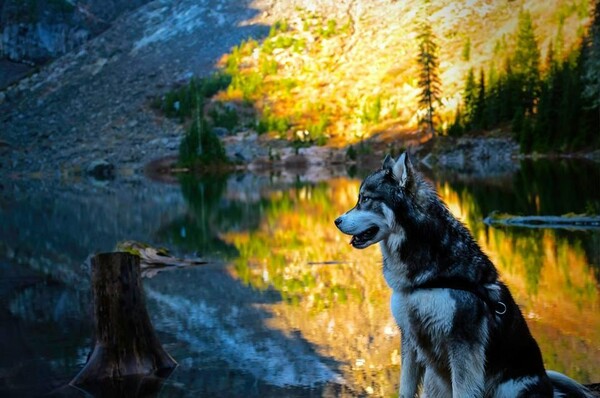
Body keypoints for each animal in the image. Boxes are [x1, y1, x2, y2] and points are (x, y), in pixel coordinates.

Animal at [336, 153, 592, 398]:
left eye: (365, 199)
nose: (336, 221)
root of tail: (548, 385)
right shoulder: (410, 336)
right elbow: (406, 388)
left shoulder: (462, 343)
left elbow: (463, 390)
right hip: (434, 381)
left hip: (509, 387)